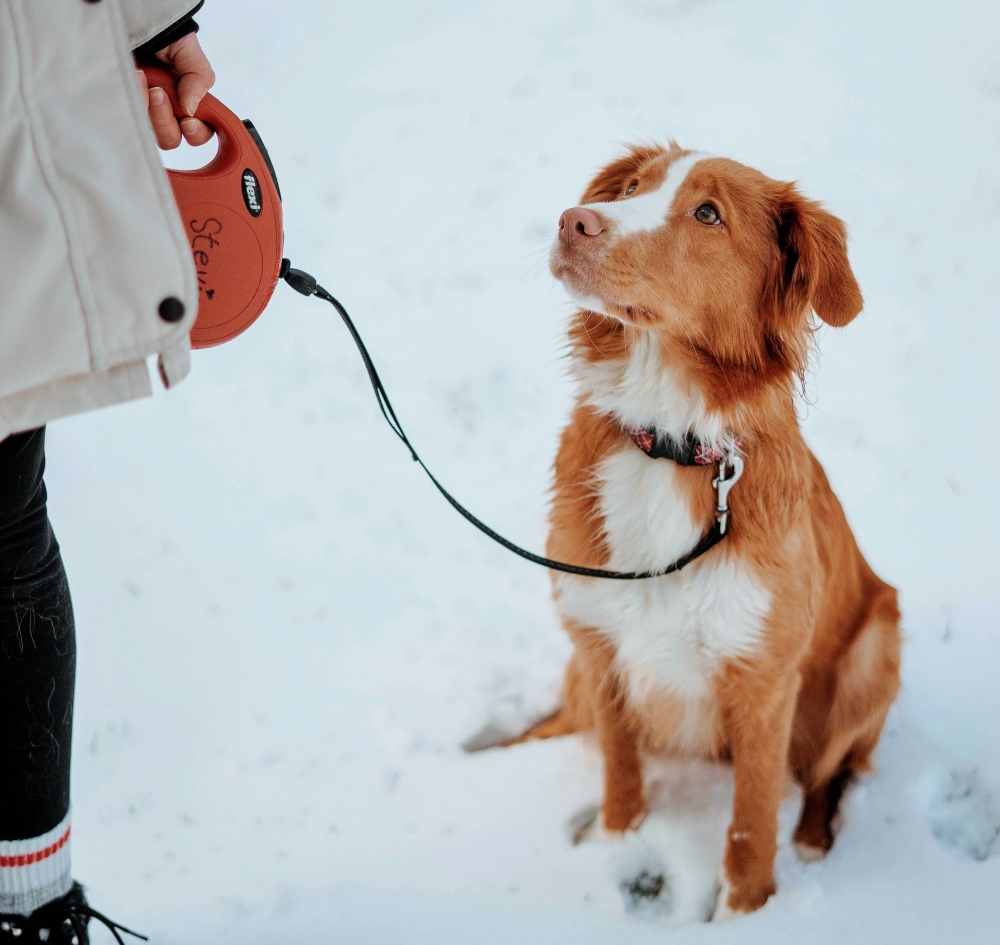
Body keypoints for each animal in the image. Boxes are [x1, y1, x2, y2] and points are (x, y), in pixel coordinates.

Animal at [508, 144, 900, 920]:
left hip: (876, 644)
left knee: (831, 770)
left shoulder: (764, 679)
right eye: (631, 188)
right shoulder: (597, 641)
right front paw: (615, 840)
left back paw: (815, 836)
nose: (573, 221)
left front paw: (747, 908)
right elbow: (621, 772)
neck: (669, 439)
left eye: (709, 214)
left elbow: (752, 816)